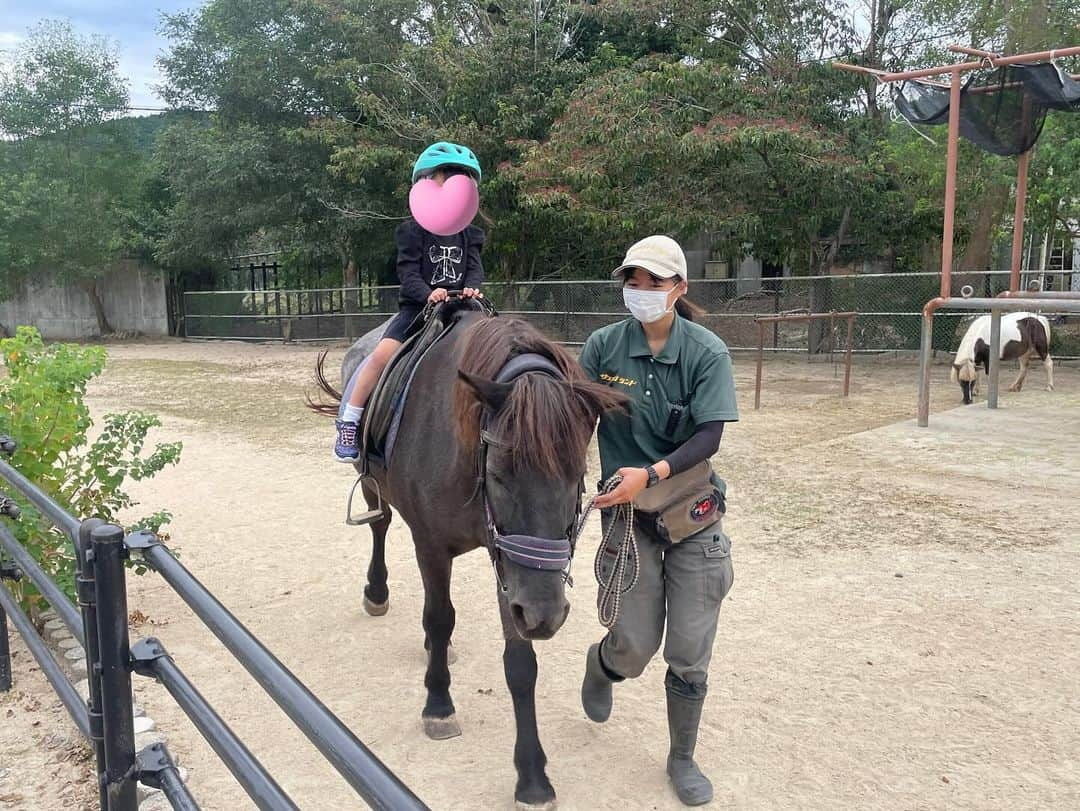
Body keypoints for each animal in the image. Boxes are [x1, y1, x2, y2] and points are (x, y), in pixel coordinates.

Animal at [311, 306, 626, 807]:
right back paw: (376, 593)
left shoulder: (513, 567)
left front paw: (532, 777)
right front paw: (438, 707)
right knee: (380, 526)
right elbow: (439, 617)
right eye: (498, 472)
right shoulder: (432, 546)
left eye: (578, 474)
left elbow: (520, 663)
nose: (547, 616)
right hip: (371, 481)